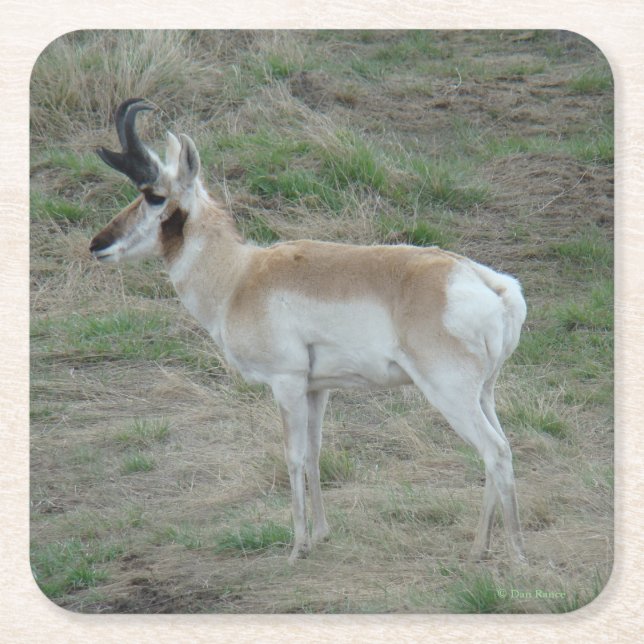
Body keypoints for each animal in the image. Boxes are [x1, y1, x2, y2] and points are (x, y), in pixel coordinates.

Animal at [90, 98, 528, 565]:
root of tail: (484, 282)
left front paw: (297, 546)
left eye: (154, 196)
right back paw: (479, 547)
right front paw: (321, 534)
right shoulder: (319, 389)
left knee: (495, 451)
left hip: (450, 394)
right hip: (484, 393)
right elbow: (317, 454)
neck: (240, 276)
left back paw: (517, 554)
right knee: (499, 448)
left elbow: (294, 457)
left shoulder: (286, 383)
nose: (98, 244)